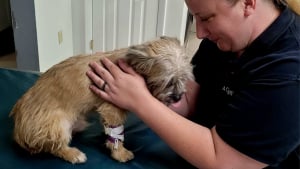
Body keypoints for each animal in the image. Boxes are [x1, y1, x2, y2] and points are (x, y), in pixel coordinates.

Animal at [9, 36, 195, 164]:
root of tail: (19, 132)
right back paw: (73, 154)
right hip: (57, 125)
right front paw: (119, 153)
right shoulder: (112, 109)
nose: (178, 97)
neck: (132, 64)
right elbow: (116, 136)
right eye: (168, 82)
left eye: (184, 79)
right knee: (54, 147)